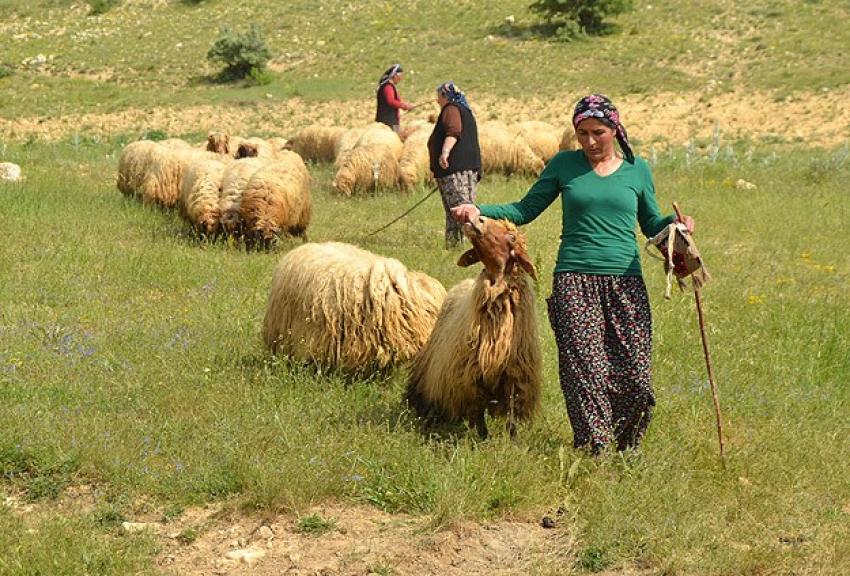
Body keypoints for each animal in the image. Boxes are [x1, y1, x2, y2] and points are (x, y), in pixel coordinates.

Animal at [406, 218, 540, 438]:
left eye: (511, 237)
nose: (478, 219)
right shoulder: (471, 379)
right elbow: (478, 413)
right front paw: (482, 438)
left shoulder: (515, 377)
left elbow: (511, 416)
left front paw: (512, 440)